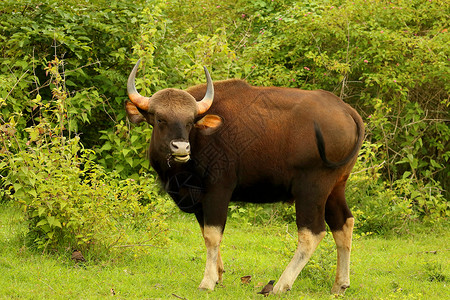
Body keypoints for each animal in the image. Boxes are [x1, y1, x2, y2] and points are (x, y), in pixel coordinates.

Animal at [125, 59, 364, 294]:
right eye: (160, 119)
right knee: (344, 223)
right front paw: (218, 275)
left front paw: (208, 281)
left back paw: (281, 285)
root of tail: (347, 111)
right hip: (335, 186)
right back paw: (340, 284)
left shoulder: (218, 190)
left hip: (312, 188)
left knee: (312, 233)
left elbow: (212, 235)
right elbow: (205, 232)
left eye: (190, 121)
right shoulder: (198, 197)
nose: (182, 147)